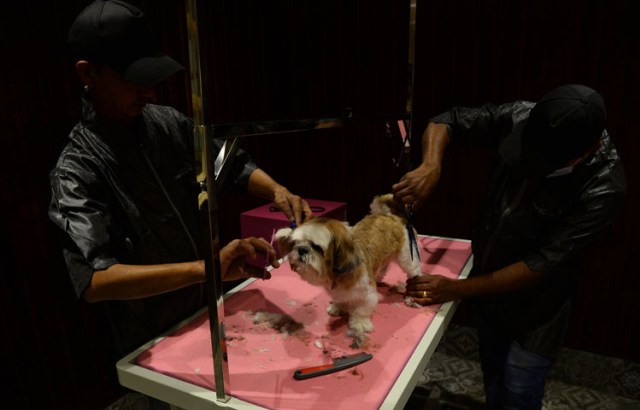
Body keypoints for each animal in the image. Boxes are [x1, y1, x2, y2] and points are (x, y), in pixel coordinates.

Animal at [274, 194, 420, 348]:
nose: (302, 249)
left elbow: (362, 310)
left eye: (317, 247)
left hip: (407, 257)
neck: (338, 276)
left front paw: (360, 324)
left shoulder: (368, 295)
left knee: (414, 272)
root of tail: (389, 216)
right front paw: (338, 307)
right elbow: (341, 299)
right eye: (296, 243)